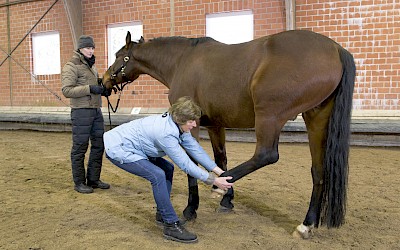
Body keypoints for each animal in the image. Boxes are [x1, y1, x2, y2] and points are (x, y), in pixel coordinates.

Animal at [101, 29, 354, 238]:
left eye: (118, 56)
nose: (103, 81)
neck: (182, 61)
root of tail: (336, 49)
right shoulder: (215, 125)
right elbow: (220, 157)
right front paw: (227, 200)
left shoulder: (192, 126)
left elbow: (191, 163)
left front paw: (192, 208)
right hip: (316, 118)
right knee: (318, 171)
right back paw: (306, 224)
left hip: (269, 115)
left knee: (266, 155)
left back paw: (218, 186)